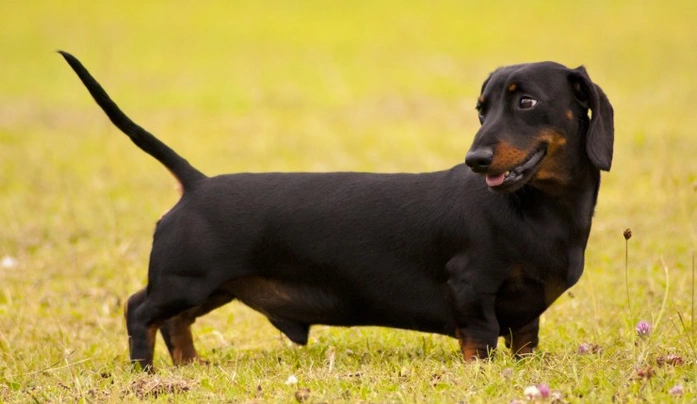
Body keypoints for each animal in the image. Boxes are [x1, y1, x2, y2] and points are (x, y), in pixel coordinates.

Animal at [61, 50, 616, 370]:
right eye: (482, 109)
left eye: (525, 103)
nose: (474, 160)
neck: (537, 212)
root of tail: (195, 183)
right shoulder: (471, 288)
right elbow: (478, 341)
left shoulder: (526, 313)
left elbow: (524, 341)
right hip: (185, 280)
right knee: (140, 310)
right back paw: (146, 372)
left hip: (213, 288)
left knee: (176, 322)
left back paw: (189, 367)